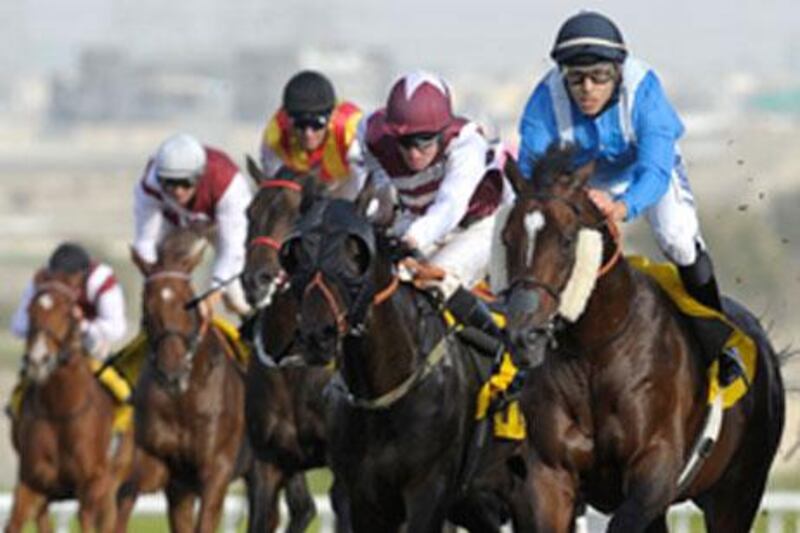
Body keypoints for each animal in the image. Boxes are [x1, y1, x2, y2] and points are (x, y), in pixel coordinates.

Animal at [6, 270, 134, 532]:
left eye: (67, 313)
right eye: (31, 310)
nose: (38, 360)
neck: (60, 410)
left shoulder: (95, 483)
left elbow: (86, 517)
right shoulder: (31, 481)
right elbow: (14, 521)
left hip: (113, 481)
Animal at [278, 196, 536, 532]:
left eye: (355, 254)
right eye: (296, 256)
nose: (316, 335)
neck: (384, 393)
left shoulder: (429, 489)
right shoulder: (364, 496)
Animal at [496, 147, 784, 532]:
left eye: (567, 240)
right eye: (507, 238)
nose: (524, 335)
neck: (592, 351)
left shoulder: (655, 468)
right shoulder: (548, 474)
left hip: (738, 492)